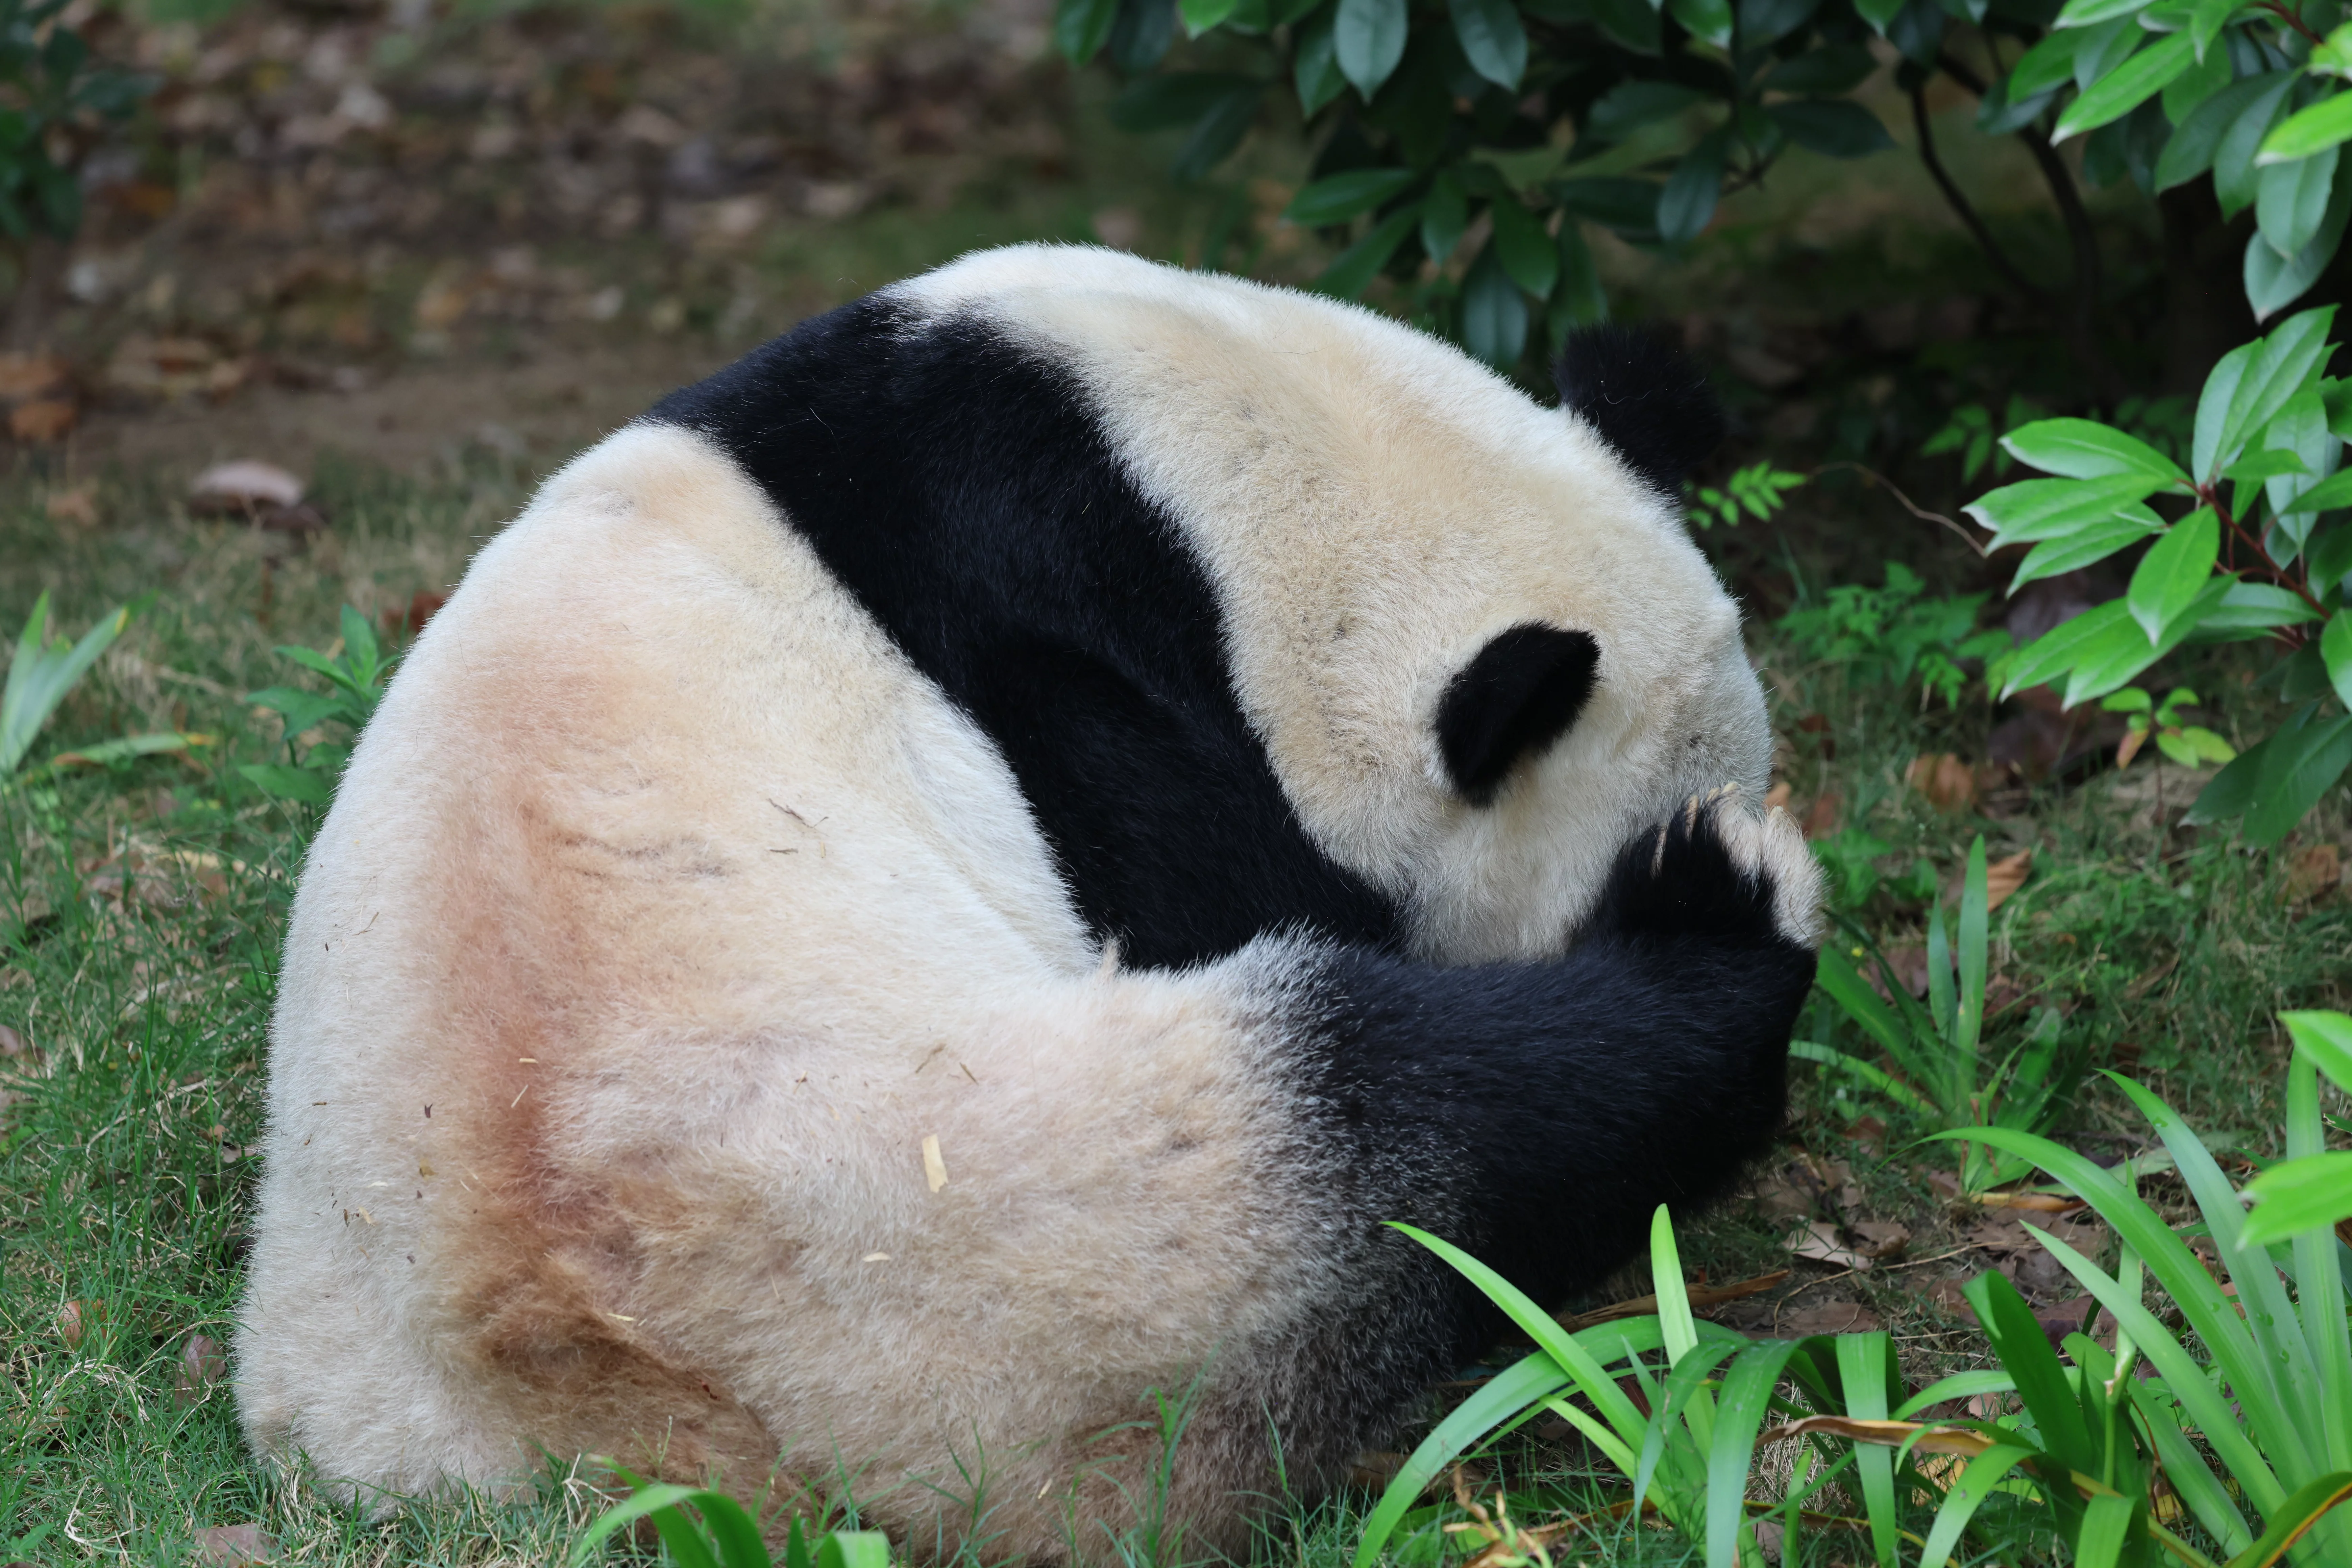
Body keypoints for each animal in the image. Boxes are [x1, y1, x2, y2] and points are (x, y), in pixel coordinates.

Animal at [234, 244, 1822, 1561]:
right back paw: (1724, 922)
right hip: (1023, 1264)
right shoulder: (1078, 660)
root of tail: (610, 1411)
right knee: (1446, 1106)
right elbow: (1223, 884)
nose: (1698, 831)